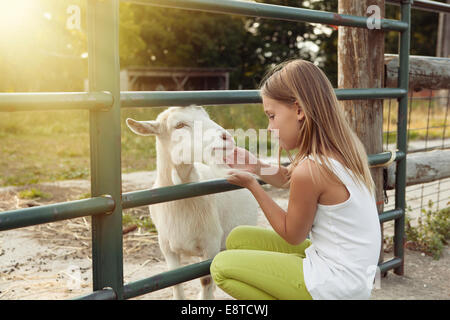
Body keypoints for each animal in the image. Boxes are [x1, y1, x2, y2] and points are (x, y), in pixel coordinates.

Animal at [127, 106, 260, 298]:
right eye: (179, 125)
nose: (226, 137)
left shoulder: (211, 242)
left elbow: (206, 281)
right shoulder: (166, 245)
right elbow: (175, 282)